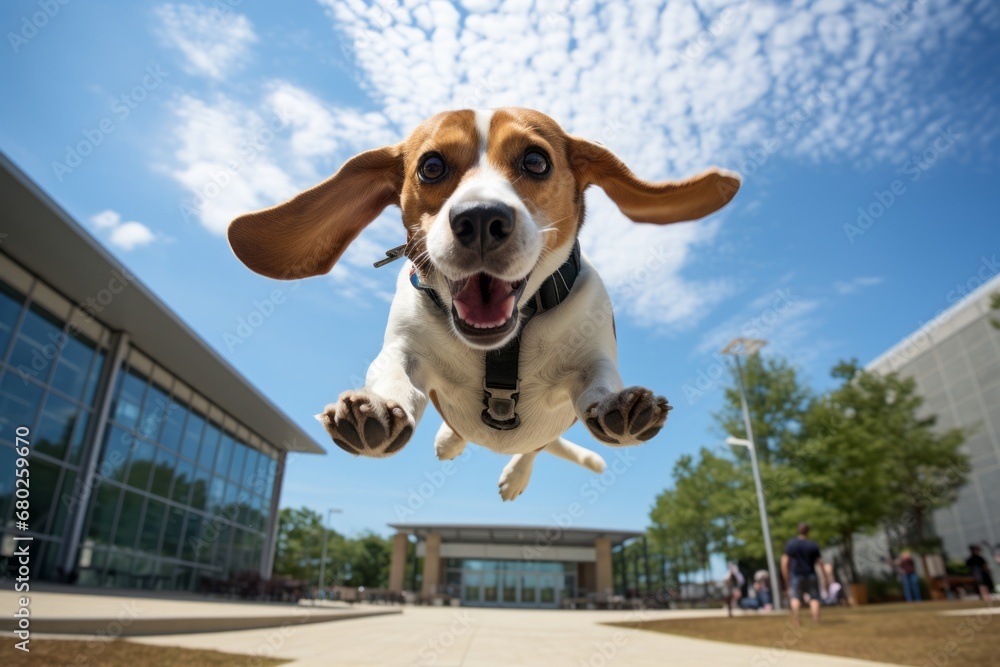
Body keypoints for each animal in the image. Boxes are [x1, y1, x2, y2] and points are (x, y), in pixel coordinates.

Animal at [229, 105, 744, 500]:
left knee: (535, 446)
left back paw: (514, 472)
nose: (479, 219)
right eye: (431, 166)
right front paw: (377, 409)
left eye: (535, 161)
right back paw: (448, 441)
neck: (502, 344)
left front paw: (616, 405)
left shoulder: (591, 356)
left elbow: (597, 384)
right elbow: (395, 375)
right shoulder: (405, 349)